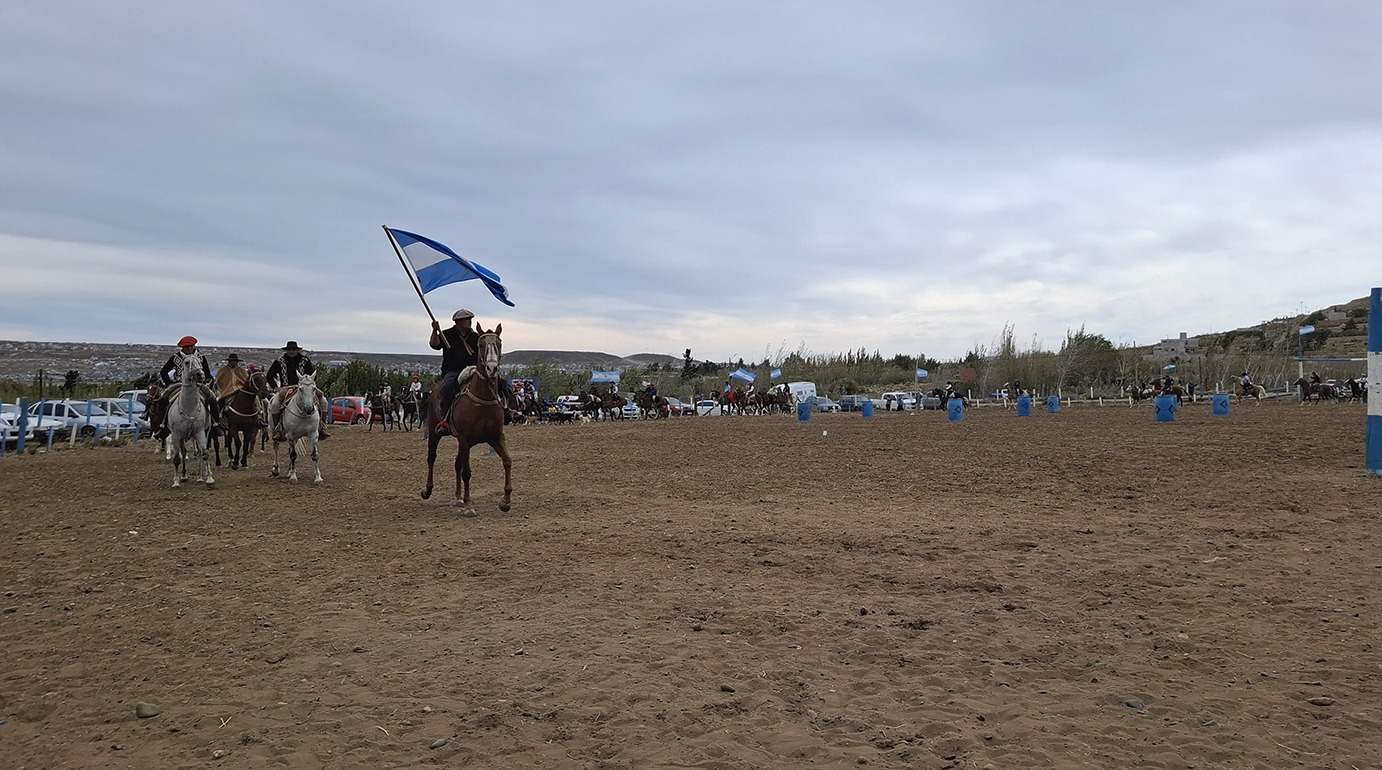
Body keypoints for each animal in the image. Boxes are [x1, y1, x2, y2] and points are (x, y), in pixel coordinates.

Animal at [165, 352, 214, 486]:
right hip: (181, 437)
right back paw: (184, 475)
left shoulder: (200, 432)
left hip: (203, 432)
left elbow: (205, 454)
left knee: (199, 453)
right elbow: (177, 458)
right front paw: (176, 481)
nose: (200, 374)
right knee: (183, 452)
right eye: (186, 362)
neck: (189, 407)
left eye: (199, 361)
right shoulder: (176, 434)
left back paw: (200, 476)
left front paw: (209, 479)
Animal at [420, 320, 514, 514]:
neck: (482, 399)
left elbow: (507, 461)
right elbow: (467, 472)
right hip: (434, 433)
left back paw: (458, 498)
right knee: (432, 458)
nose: (492, 368)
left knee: (457, 464)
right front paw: (469, 506)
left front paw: (505, 501)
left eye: (499, 344)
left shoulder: (495, 437)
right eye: (481, 345)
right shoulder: (465, 439)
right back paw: (427, 491)